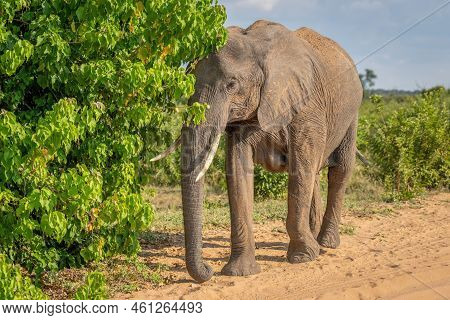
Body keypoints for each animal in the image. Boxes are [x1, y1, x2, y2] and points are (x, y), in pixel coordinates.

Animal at [153, 20, 364, 282]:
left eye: (232, 85)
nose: (208, 270)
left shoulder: (306, 106)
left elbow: (300, 169)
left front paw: (302, 258)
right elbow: (238, 171)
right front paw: (240, 272)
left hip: (352, 114)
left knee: (339, 171)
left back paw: (325, 244)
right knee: (315, 173)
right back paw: (314, 239)